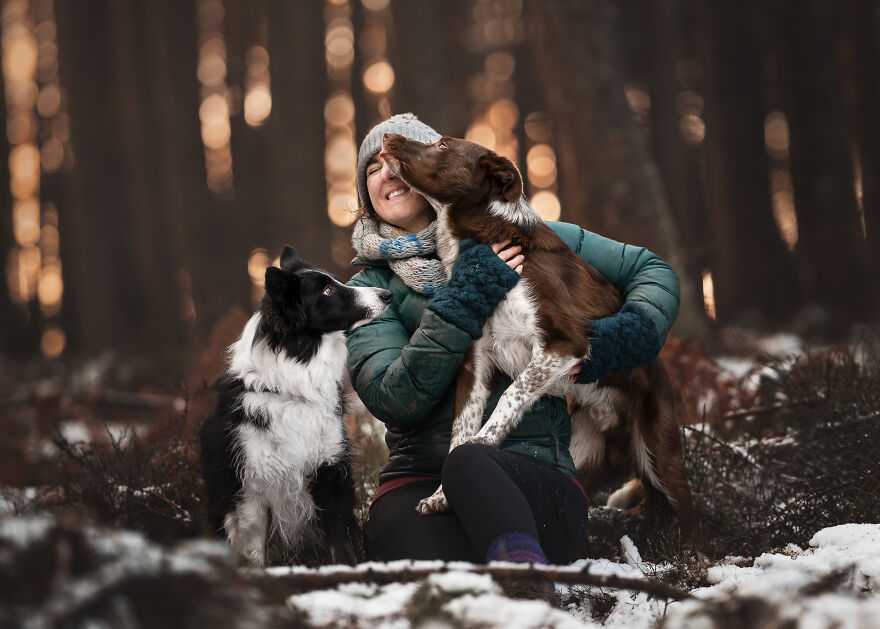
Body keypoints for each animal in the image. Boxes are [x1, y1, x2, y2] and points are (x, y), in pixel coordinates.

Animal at [201, 245, 394, 564]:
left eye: (334, 281)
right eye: (328, 291)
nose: (387, 294)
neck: (292, 390)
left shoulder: (331, 474)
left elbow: (339, 544)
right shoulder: (250, 490)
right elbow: (254, 553)